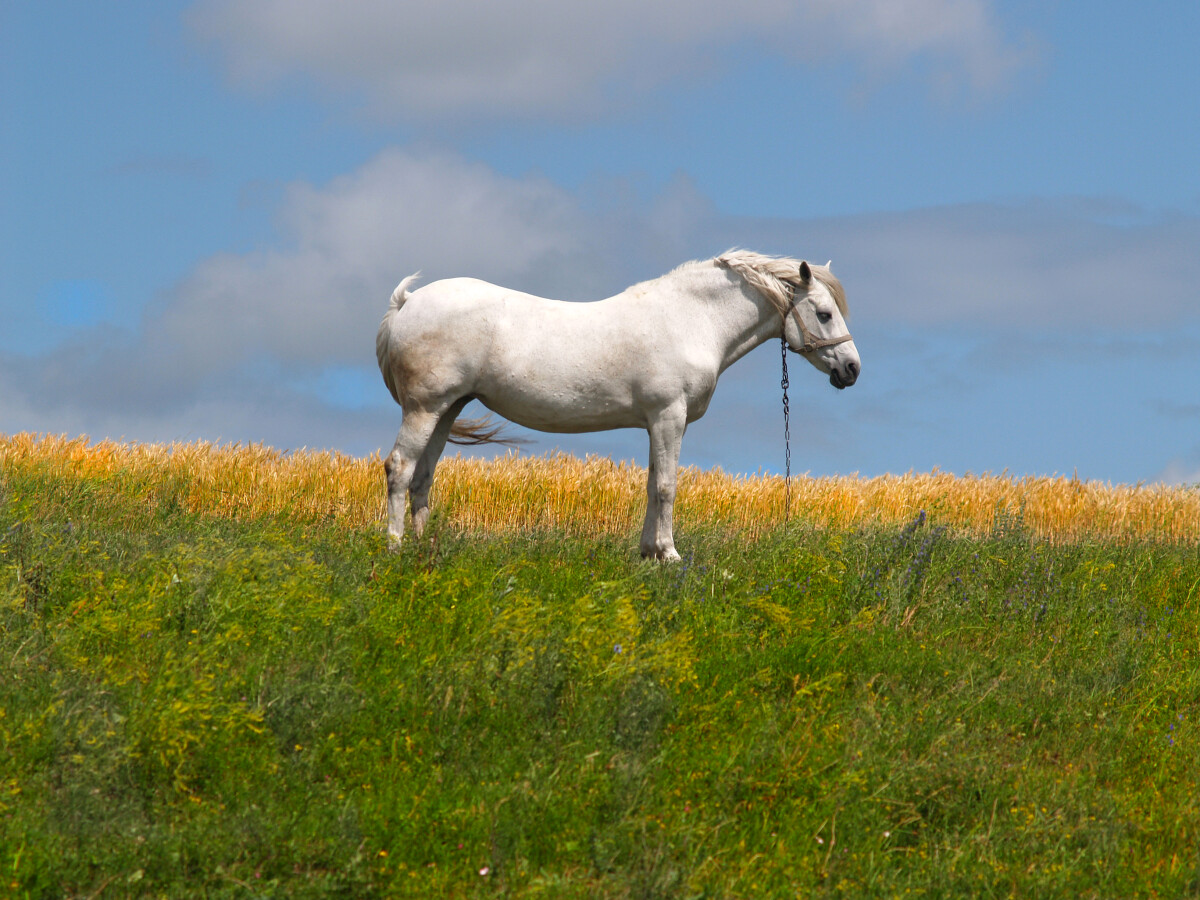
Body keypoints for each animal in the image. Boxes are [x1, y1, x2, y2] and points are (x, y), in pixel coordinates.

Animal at [374, 250, 854, 561]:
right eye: (825, 313)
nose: (851, 369)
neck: (690, 320)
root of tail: (406, 303)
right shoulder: (669, 416)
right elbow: (667, 486)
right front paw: (670, 554)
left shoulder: (658, 422)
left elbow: (652, 482)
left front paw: (648, 553)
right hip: (424, 408)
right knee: (400, 468)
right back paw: (394, 547)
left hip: (448, 409)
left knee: (424, 477)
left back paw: (425, 550)